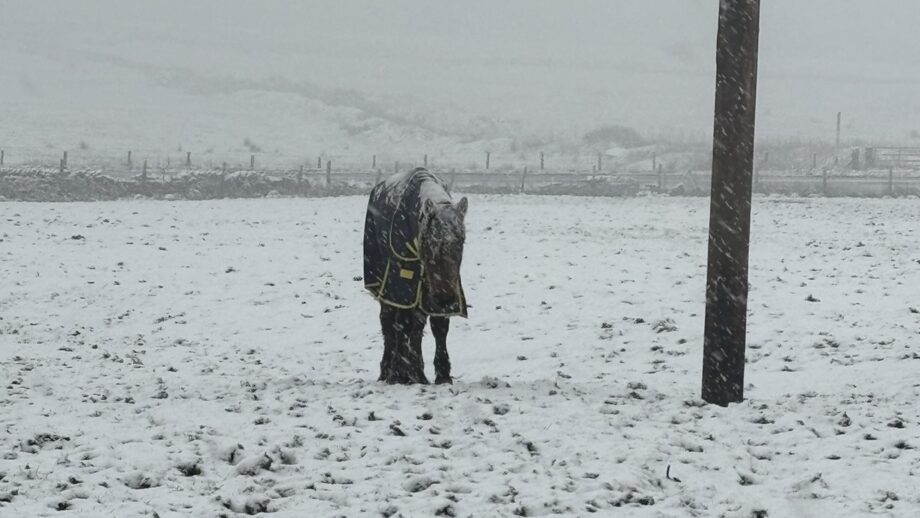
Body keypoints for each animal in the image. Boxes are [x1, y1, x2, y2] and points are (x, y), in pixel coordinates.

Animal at [363, 167, 468, 384]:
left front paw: (442, 375)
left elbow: (439, 327)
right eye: (430, 241)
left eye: (461, 240)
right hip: (388, 286)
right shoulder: (402, 286)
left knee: (416, 328)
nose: (445, 298)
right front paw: (403, 375)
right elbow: (402, 325)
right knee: (388, 322)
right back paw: (388, 372)